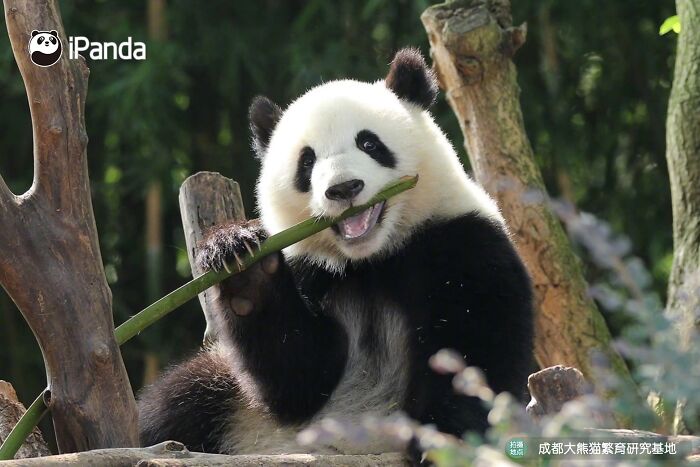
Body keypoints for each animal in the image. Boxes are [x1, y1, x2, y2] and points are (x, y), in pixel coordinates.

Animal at [138, 48, 534, 460]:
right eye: (307, 161)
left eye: (370, 144)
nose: (344, 188)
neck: (372, 259)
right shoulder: (308, 269)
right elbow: (297, 378)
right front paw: (244, 264)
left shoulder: (462, 243)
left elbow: (474, 352)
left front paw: (443, 444)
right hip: (233, 406)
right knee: (177, 401)